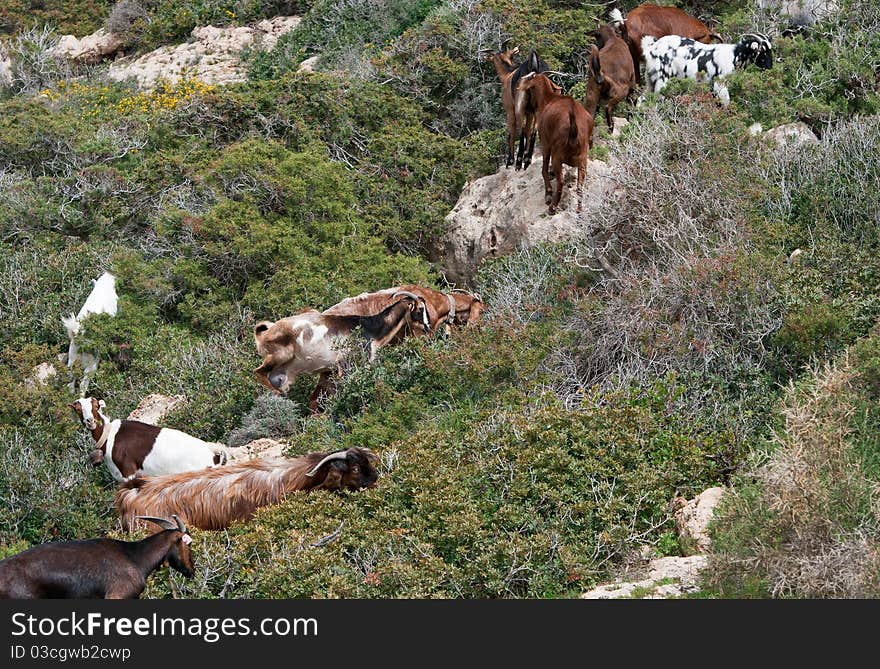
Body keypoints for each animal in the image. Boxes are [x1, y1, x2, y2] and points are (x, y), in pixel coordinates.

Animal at [71, 394, 229, 482]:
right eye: (78, 409)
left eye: (96, 406)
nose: (90, 421)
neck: (110, 435)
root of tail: (214, 458)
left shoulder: (128, 473)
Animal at [516, 73, 592, 214]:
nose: (527, 110)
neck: (548, 99)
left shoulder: (545, 144)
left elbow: (544, 169)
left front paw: (548, 193)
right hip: (583, 160)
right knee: (580, 186)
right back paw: (579, 210)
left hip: (558, 156)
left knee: (561, 182)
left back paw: (552, 207)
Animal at [640, 33, 768, 107]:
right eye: (761, 51)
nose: (769, 68)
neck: (734, 55)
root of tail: (651, 48)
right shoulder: (720, 84)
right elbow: (726, 103)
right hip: (662, 80)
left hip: (650, 80)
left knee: (642, 98)